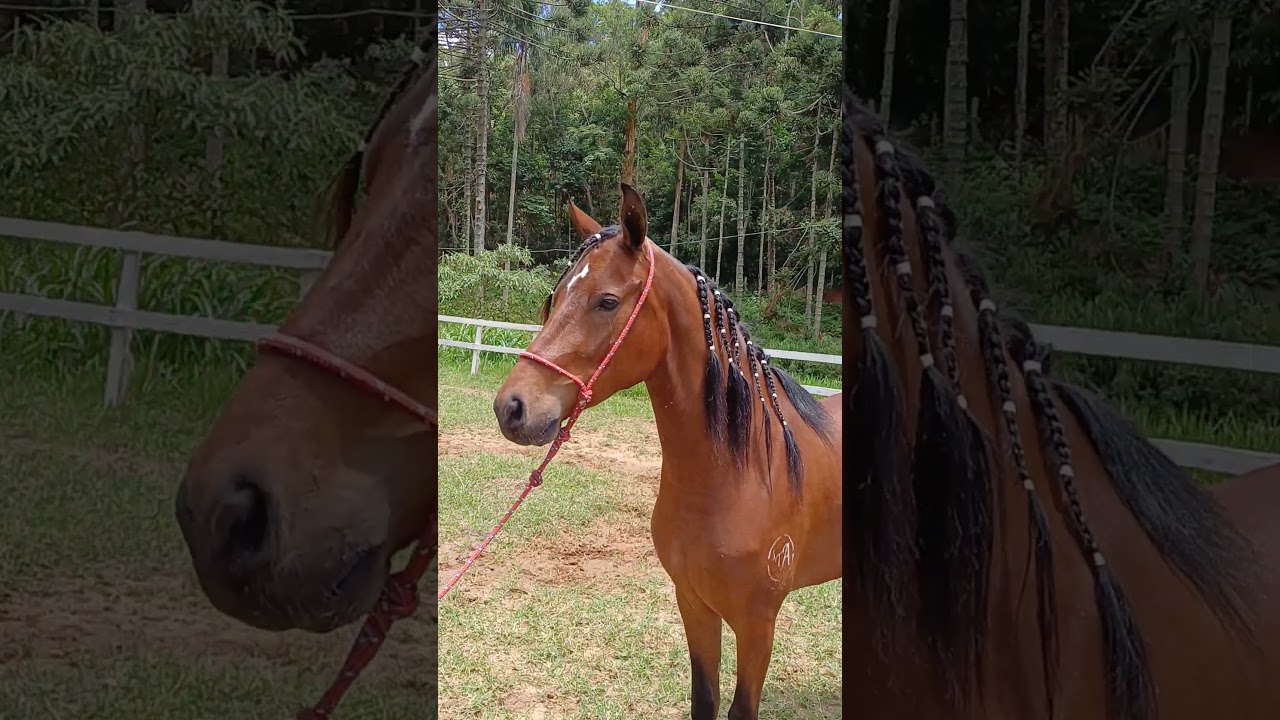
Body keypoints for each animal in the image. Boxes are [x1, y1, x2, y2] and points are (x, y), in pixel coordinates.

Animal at [493, 184, 843, 720]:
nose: (511, 408)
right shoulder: (693, 604)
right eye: (553, 300)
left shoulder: (758, 624)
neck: (739, 475)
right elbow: (704, 699)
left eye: (608, 301)